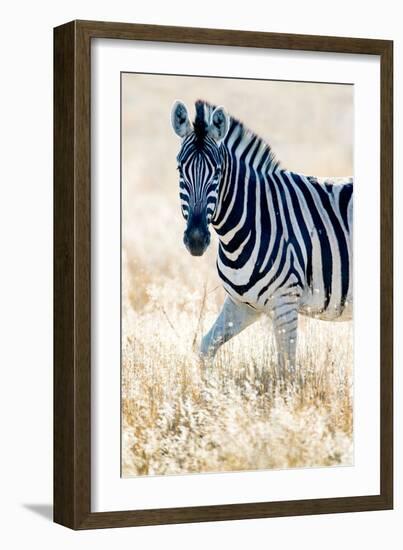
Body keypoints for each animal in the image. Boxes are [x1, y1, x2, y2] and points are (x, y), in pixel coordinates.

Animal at [170, 99, 354, 380]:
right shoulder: (243, 304)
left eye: (218, 172)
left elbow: (286, 370)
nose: (196, 239)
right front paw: (204, 387)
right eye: (180, 170)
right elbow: (205, 347)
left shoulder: (285, 302)